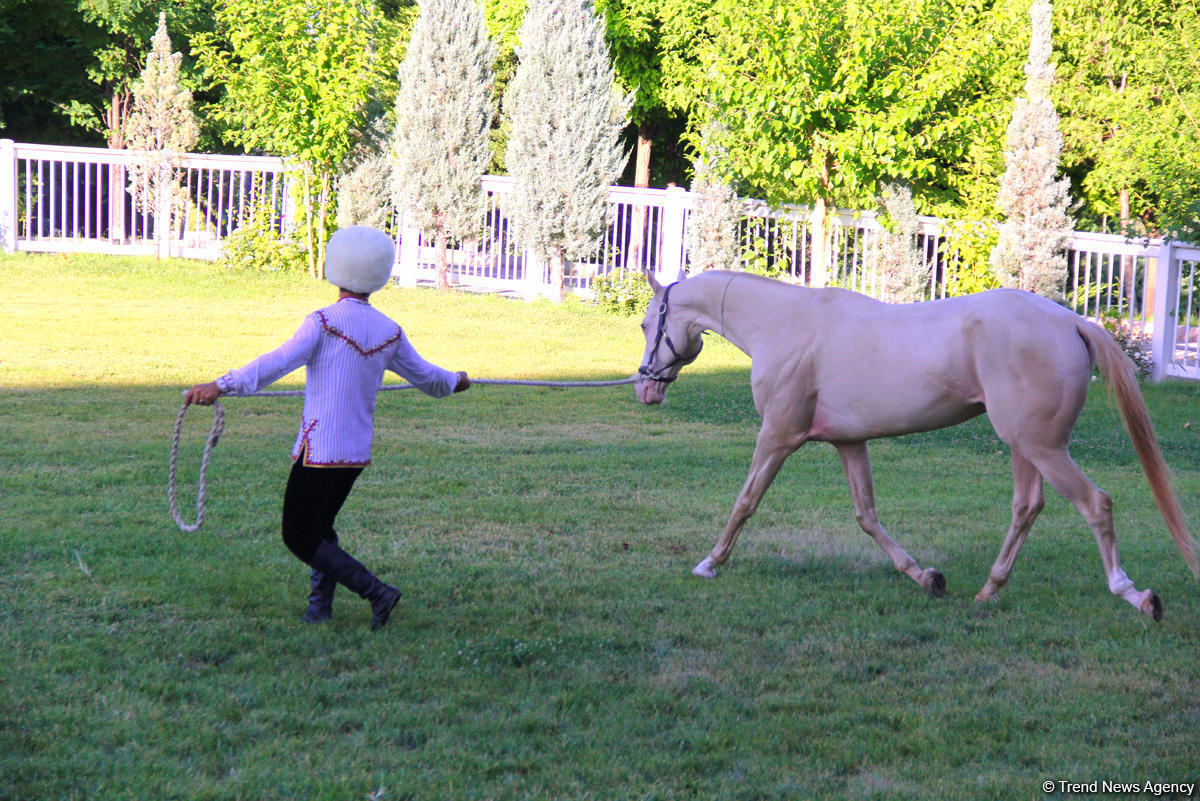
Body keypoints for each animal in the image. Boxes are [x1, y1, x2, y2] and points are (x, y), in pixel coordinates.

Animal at [633, 268, 1195, 618]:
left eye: (645, 323)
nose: (644, 387)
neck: (785, 326)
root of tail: (1072, 320)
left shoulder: (778, 435)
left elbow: (746, 501)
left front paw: (709, 563)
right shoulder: (850, 443)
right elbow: (867, 516)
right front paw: (925, 577)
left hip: (1043, 447)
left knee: (1095, 504)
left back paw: (1135, 596)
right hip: (1027, 446)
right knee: (1027, 508)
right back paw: (987, 592)